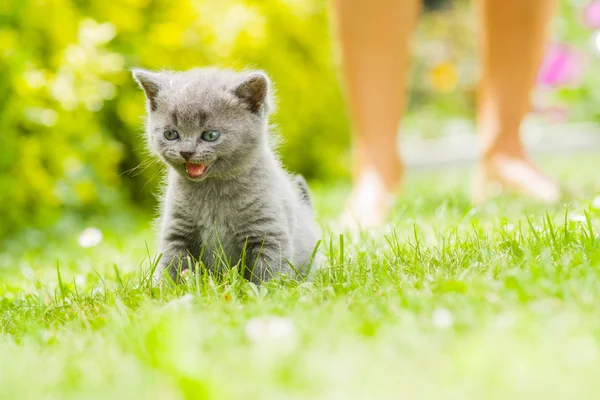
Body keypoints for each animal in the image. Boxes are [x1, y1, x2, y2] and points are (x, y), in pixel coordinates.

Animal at [131, 67, 318, 282]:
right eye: (171, 134)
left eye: (211, 135)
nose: (186, 151)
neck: (212, 191)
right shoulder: (176, 230)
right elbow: (172, 266)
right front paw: (166, 289)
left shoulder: (267, 231)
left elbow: (268, 271)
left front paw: (263, 289)